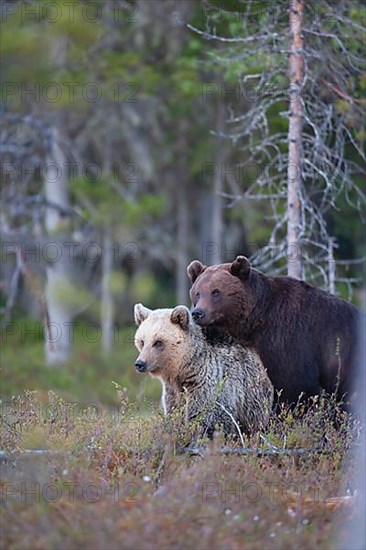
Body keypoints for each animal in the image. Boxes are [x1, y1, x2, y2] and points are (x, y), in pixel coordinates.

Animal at [133, 304, 274, 438]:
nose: (140, 363)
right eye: (142, 341)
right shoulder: (173, 391)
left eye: (158, 342)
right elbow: (175, 412)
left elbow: (208, 418)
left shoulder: (210, 383)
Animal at [187, 256, 358, 408]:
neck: (260, 317)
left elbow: (294, 385)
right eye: (197, 293)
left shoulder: (289, 338)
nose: (198, 313)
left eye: (215, 292)